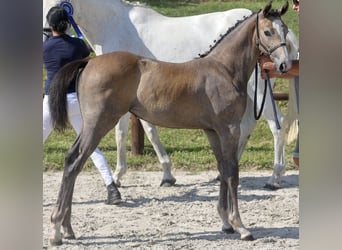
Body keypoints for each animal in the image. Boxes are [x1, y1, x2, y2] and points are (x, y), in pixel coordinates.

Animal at [43, 0, 300, 188]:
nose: (47, 30)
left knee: (276, 125)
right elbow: (150, 130)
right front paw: (167, 175)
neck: (116, 25)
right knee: (246, 126)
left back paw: (274, 178)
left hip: (258, 89)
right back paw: (226, 170)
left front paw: (117, 176)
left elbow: (121, 134)